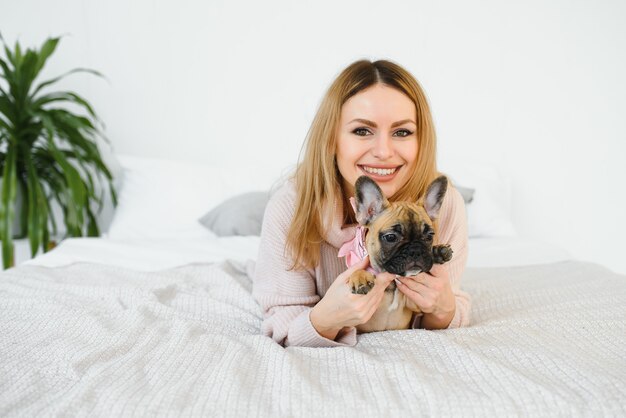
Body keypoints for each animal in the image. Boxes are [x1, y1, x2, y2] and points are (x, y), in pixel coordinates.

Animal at [344, 175, 450, 332]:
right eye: (390, 237)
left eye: (429, 236)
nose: (415, 250)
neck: (393, 283)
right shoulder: (358, 324)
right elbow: (358, 270)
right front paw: (360, 278)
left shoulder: (415, 306)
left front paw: (438, 252)